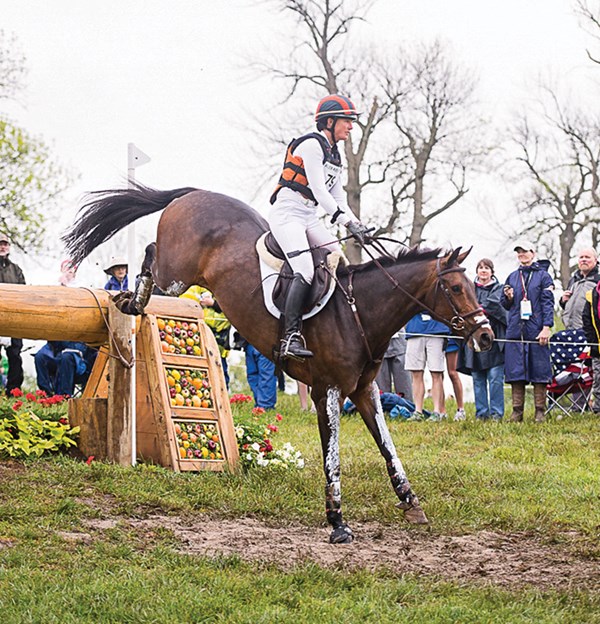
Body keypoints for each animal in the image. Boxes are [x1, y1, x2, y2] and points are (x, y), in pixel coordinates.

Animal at [63, 183, 494, 544]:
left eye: (474, 286)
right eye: (455, 288)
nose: (487, 337)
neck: (357, 312)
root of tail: (195, 193)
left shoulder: (365, 390)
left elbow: (387, 446)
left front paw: (410, 502)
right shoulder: (328, 391)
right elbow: (333, 457)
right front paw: (337, 522)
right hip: (177, 274)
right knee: (152, 255)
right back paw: (131, 300)